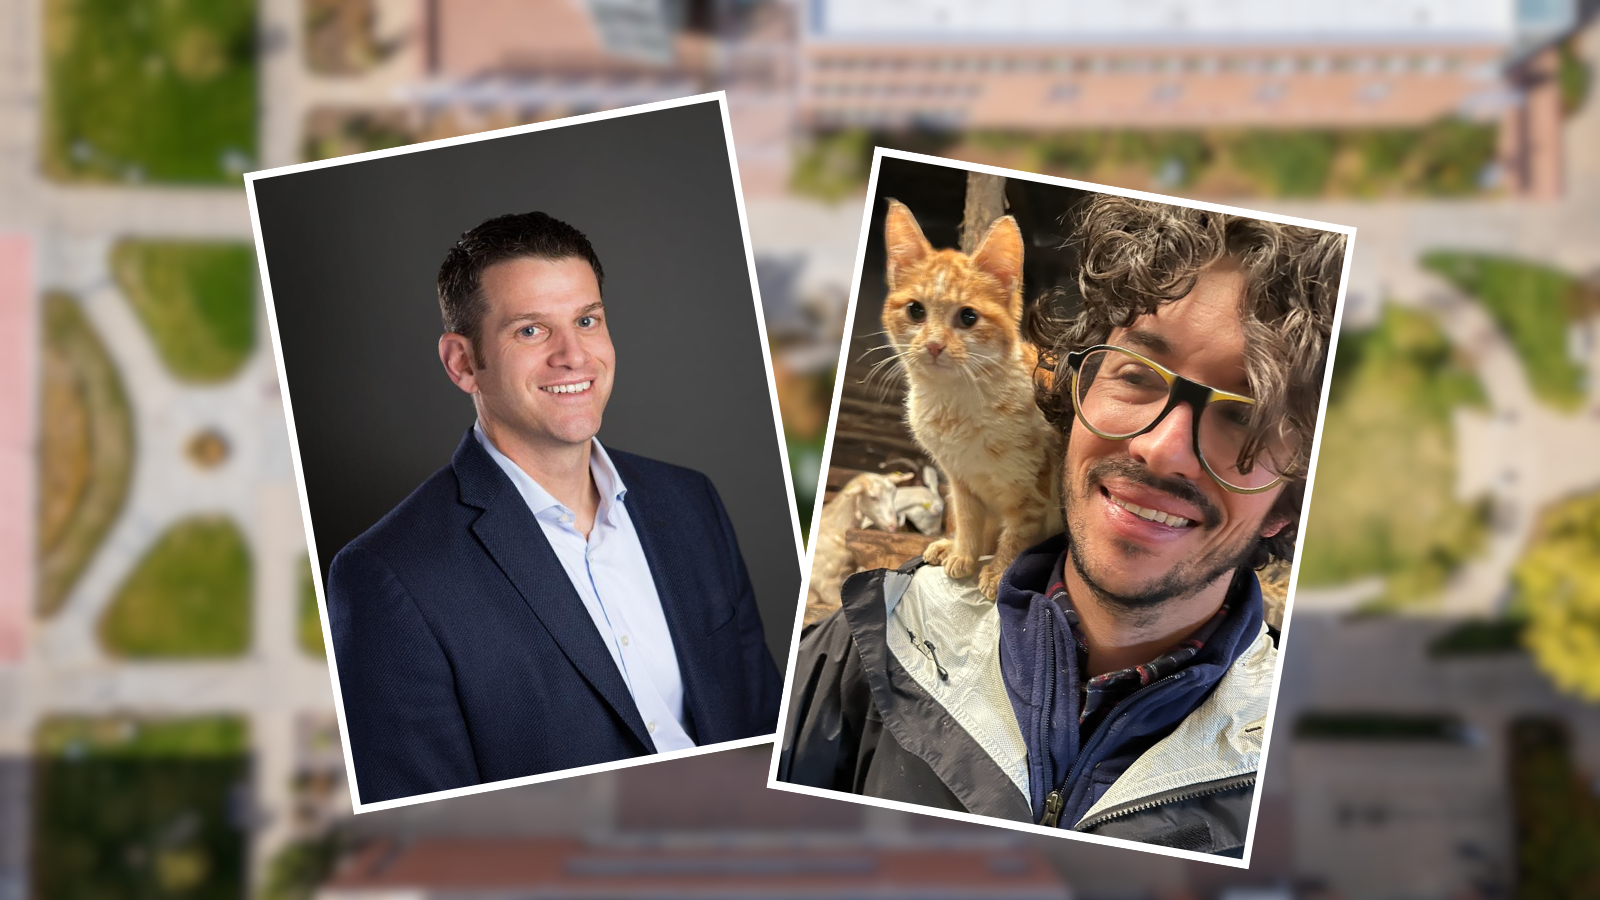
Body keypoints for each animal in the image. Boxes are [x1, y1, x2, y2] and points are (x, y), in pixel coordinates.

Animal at [876, 199, 1062, 598]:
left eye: (968, 317)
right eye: (916, 310)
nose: (934, 345)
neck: (956, 405)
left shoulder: (1033, 489)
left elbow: (1018, 534)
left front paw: (999, 572)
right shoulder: (959, 479)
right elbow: (967, 519)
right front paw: (963, 551)